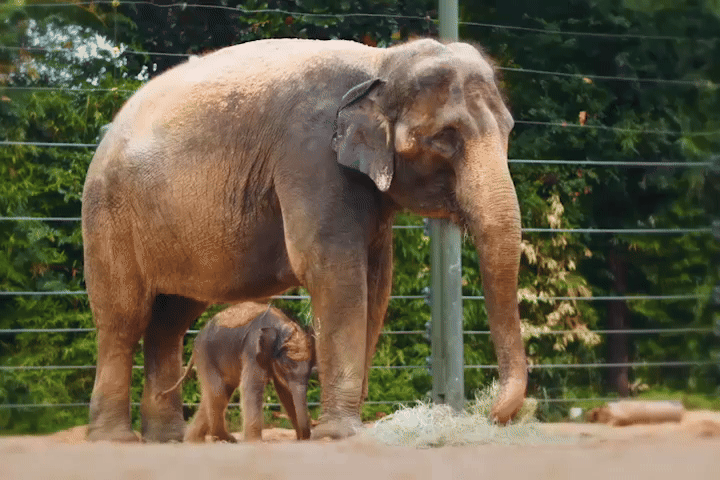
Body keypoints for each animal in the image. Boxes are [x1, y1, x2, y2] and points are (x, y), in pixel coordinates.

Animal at [158, 302, 315, 442]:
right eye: (287, 366)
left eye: (310, 370)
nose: (304, 437)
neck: (281, 326)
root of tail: (196, 339)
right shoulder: (252, 348)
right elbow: (251, 387)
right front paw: (254, 442)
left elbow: (285, 393)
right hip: (205, 356)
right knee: (218, 393)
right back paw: (225, 438)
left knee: (216, 394)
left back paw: (195, 440)